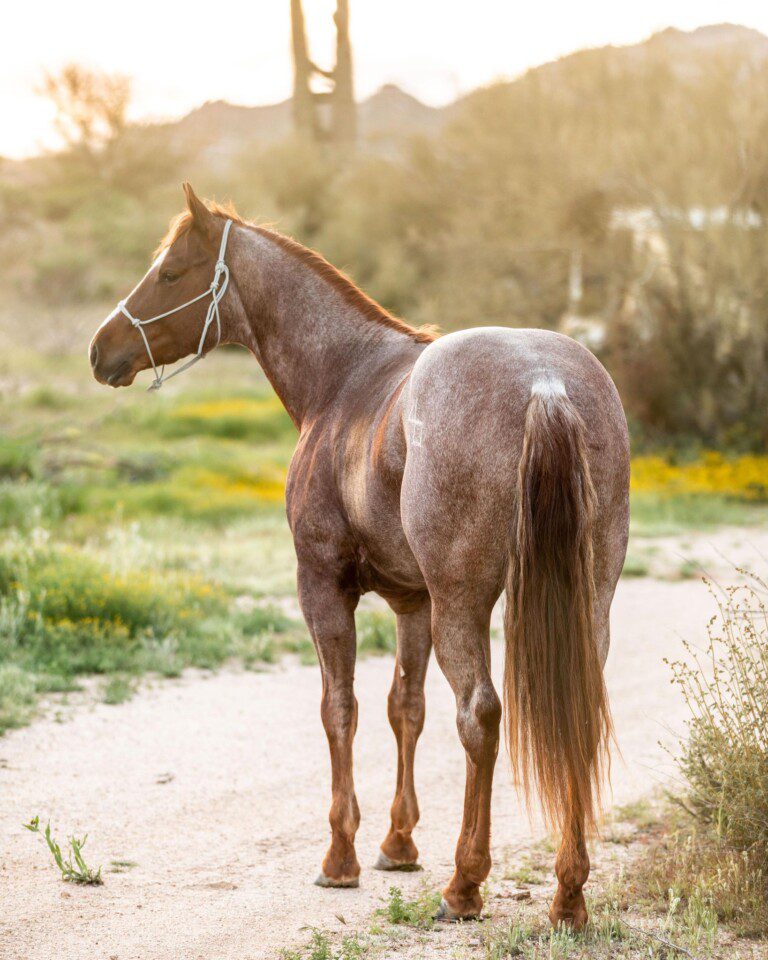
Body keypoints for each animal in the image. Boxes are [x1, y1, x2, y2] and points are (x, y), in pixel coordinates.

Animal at [90, 184, 632, 928]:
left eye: (171, 272)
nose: (101, 349)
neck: (345, 379)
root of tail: (544, 385)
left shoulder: (323, 588)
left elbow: (338, 708)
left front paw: (340, 856)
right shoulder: (413, 602)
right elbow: (405, 706)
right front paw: (399, 843)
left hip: (465, 604)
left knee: (480, 716)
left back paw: (465, 885)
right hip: (586, 602)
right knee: (570, 713)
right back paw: (569, 894)